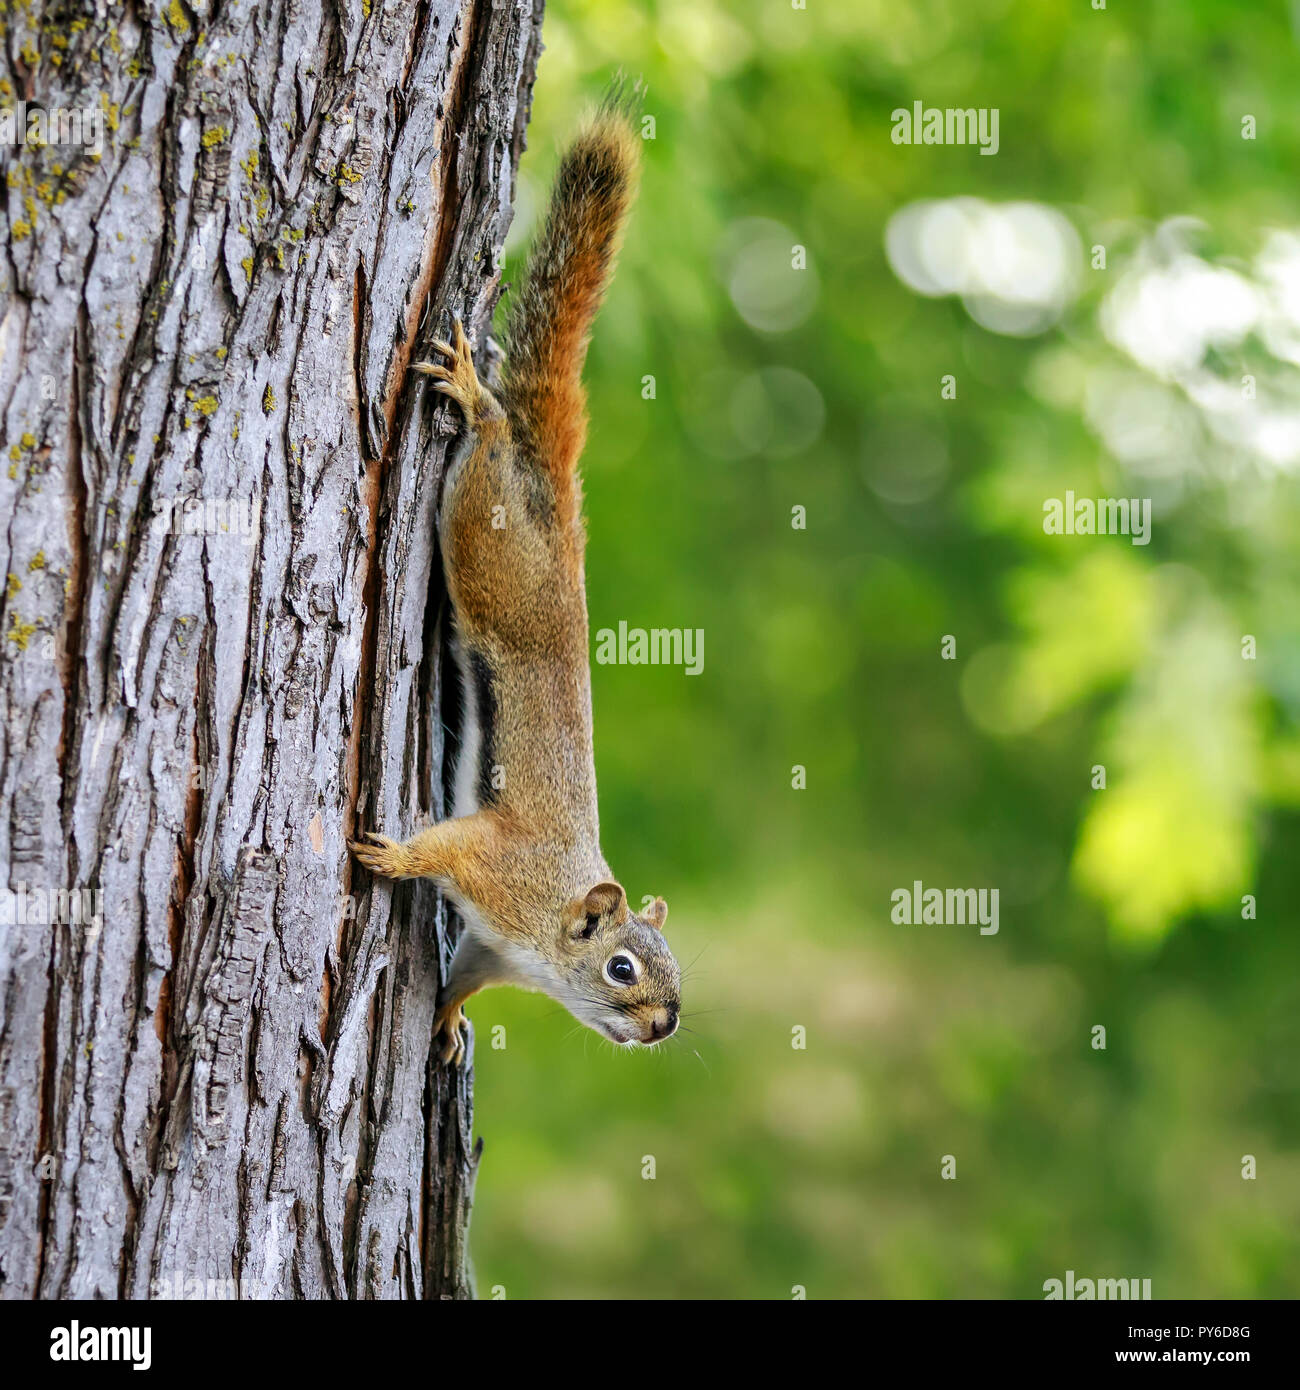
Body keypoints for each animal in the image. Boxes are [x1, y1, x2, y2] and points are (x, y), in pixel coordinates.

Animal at [350, 89, 686, 1061]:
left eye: (677, 973)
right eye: (623, 969)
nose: (664, 1026)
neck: (547, 940)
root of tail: (554, 498)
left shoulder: (491, 947)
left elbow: (462, 978)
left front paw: (450, 1020)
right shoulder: (498, 867)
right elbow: (444, 849)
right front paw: (394, 857)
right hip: (484, 536)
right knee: (493, 436)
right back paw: (474, 396)